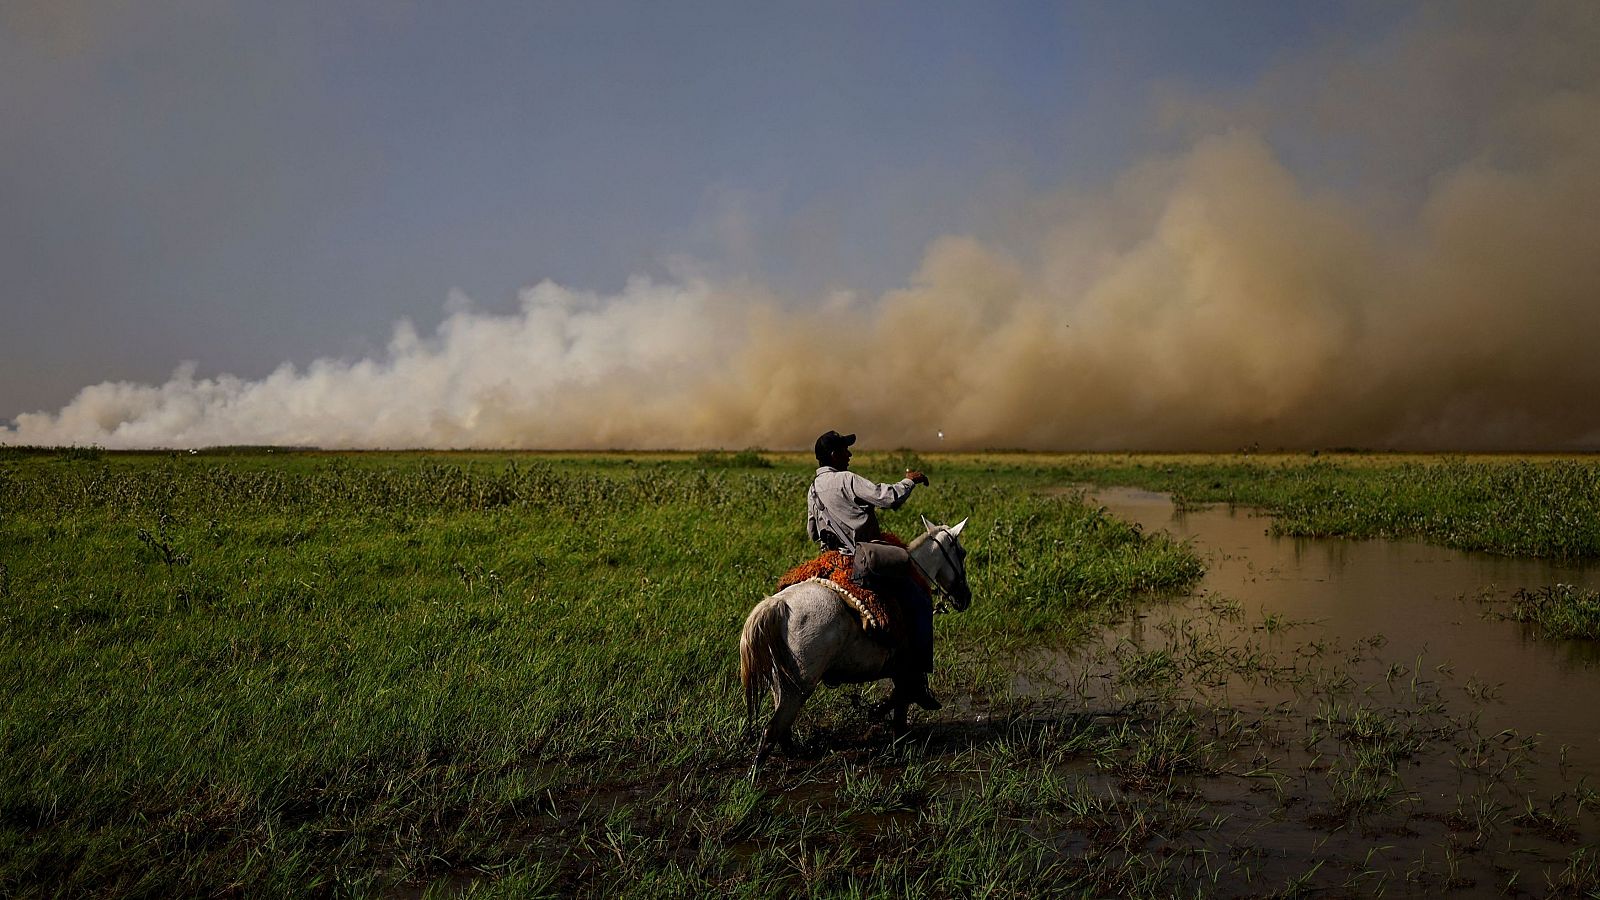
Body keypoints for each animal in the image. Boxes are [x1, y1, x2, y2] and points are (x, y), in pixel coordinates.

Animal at [739, 518, 972, 762]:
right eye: (962, 552)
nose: (965, 597)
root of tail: (778, 605)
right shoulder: (905, 667)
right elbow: (902, 701)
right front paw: (895, 733)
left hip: (782, 685)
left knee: (781, 730)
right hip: (798, 689)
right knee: (772, 730)